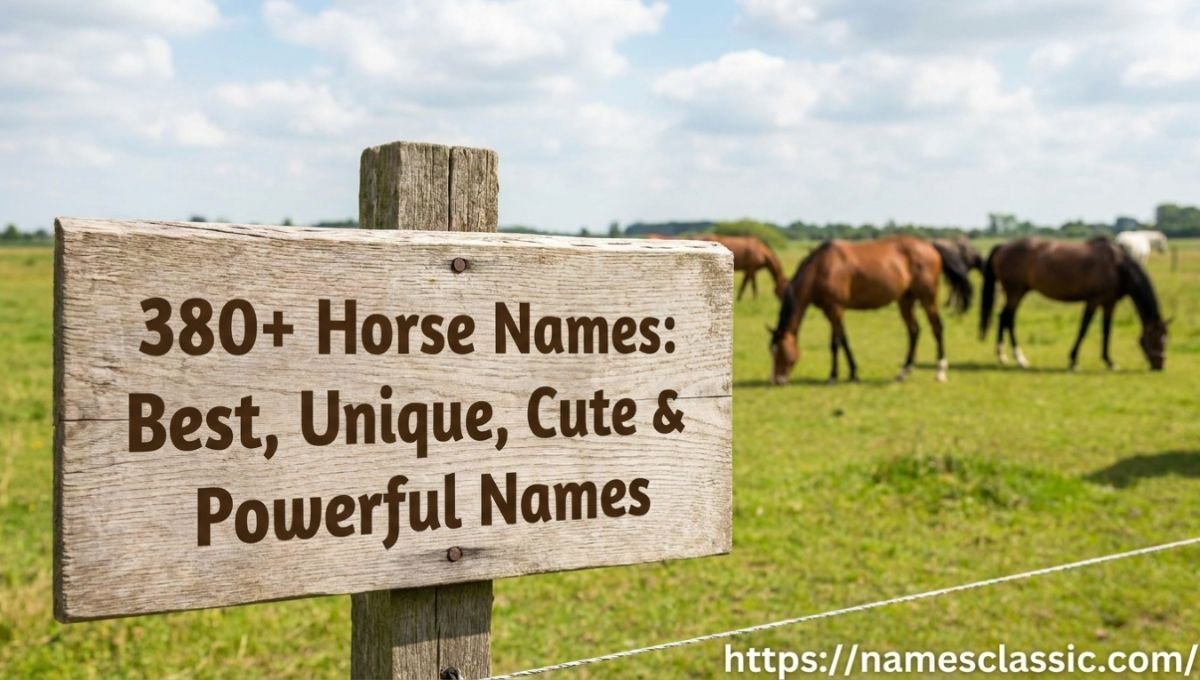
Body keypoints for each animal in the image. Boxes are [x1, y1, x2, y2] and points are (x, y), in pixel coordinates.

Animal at [769, 236, 973, 385]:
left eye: (780, 351)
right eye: (772, 351)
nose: (777, 380)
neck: (822, 267)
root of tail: (930, 245)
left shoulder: (835, 309)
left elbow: (837, 342)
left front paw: (838, 375)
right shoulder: (832, 311)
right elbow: (841, 341)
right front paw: (848, 374)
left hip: (927, 298)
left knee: (937, 328)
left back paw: (940, 372)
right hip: (906, 300)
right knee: (914, 331)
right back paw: (903, 372)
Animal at [979, 237, 1168, 371]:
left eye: (1167, 339)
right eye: (1157, 339)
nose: (1159, 366)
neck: (1117, 265)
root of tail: (1003, 246)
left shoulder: (1109, 304)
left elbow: (1107, 331)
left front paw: (1110, 362)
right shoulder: (1093, 301)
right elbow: (1083, 329)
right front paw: (1073, 361)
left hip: (1017, 292)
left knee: (1004, 317)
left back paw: (1004, 357)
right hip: (1015, 292)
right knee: (1007, 318)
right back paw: (1018, 358)